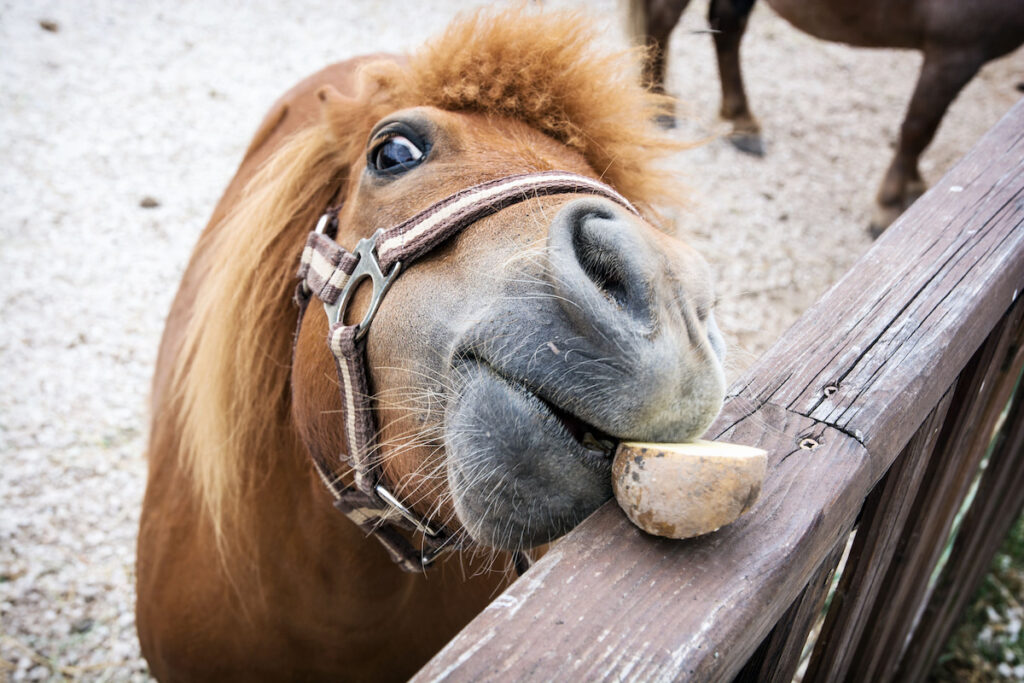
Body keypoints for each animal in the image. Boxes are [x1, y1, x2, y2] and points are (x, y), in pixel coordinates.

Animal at [630, 0, 1024, 235]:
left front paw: (914, 186)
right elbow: (919, 128)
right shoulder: (955, 49)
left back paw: (742, 122)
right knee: (664, 18)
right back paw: (657, 101)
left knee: (726, 25)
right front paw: (889, 203)